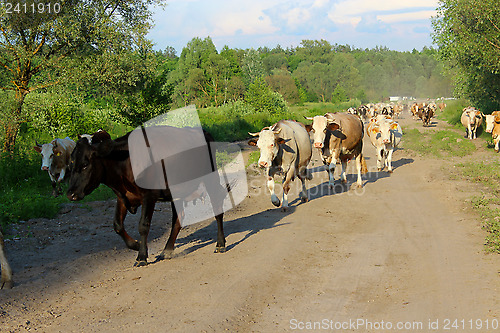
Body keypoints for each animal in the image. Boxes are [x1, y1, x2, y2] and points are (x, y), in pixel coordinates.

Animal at [66, 126, 227, 266]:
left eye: (85, 164)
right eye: (70, 163)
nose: (70, 194)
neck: (124, 162)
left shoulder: (148, 196)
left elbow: (143, 225)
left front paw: (141, 256)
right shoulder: (123, 197)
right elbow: (117, 225)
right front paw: (136, 245)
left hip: (211, 177)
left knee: (217, 206)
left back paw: (220, 243)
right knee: (178, 218)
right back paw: (167, 250)